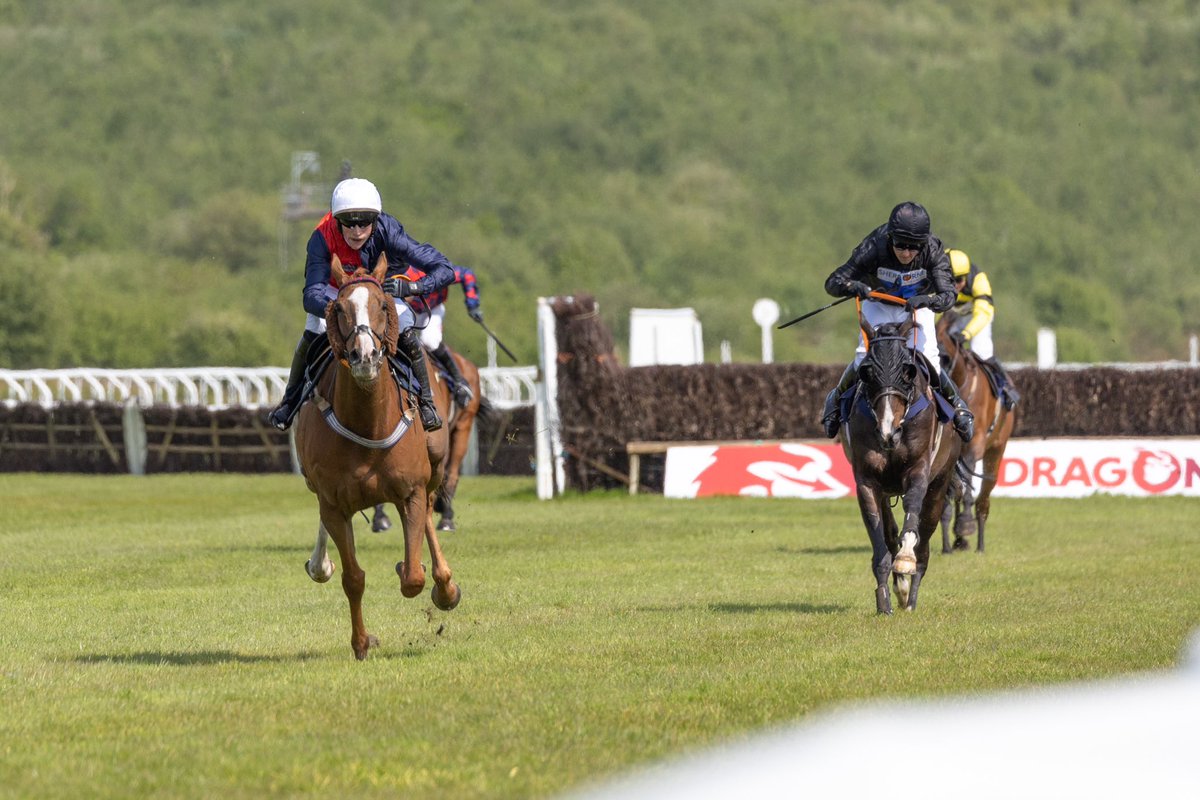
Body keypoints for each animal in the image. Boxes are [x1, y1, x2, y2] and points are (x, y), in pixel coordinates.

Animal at [294, 253, 458, 662]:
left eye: (383, 304)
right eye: (339, 309)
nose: (365, 356)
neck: (368, 424)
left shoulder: (410, 491)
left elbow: (413, 575)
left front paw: (411, 569)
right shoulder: (333, 503)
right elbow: (353, 578)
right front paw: (362, 642)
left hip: (435, 462)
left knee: (430, 511)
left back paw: (446, 587)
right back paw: (319, 564)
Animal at [931, 311, 1017, 556]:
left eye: (945, 356)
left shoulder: (975, 443)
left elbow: (967, 489)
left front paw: (965, 523)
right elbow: (951, 492)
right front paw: (950, 540)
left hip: (996, 449)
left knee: (983, 497)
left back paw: (977, 538)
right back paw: (960, 539)